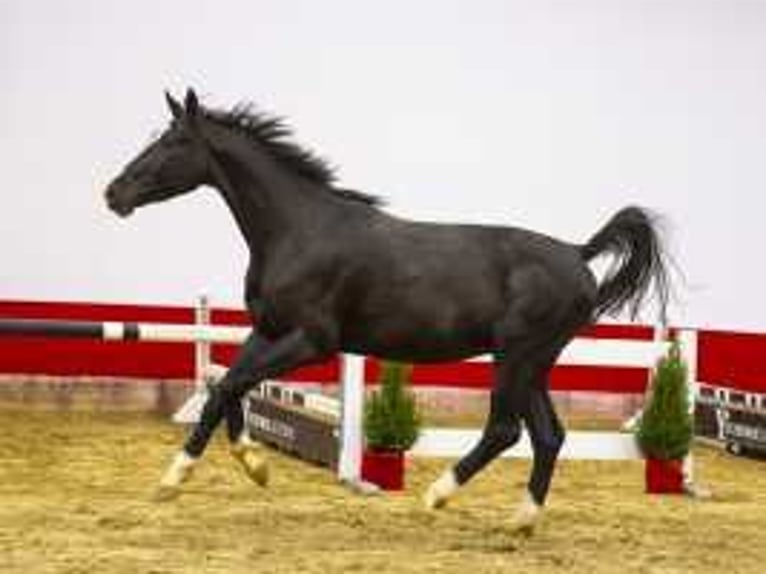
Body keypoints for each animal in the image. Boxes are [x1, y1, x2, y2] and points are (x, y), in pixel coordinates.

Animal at [105, 90, 668, 536]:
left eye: (173, 143)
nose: (114, 193)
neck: (298, 231)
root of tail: (578, 253)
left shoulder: (310, 340)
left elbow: (227, 387)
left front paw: (178, 477)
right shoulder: (267, 330)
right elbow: (227, 387)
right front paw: (252, 464)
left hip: (518, 356)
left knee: (506, 430)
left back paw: (437, 495)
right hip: (534, 364)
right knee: (549, 436)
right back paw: (520, 520)